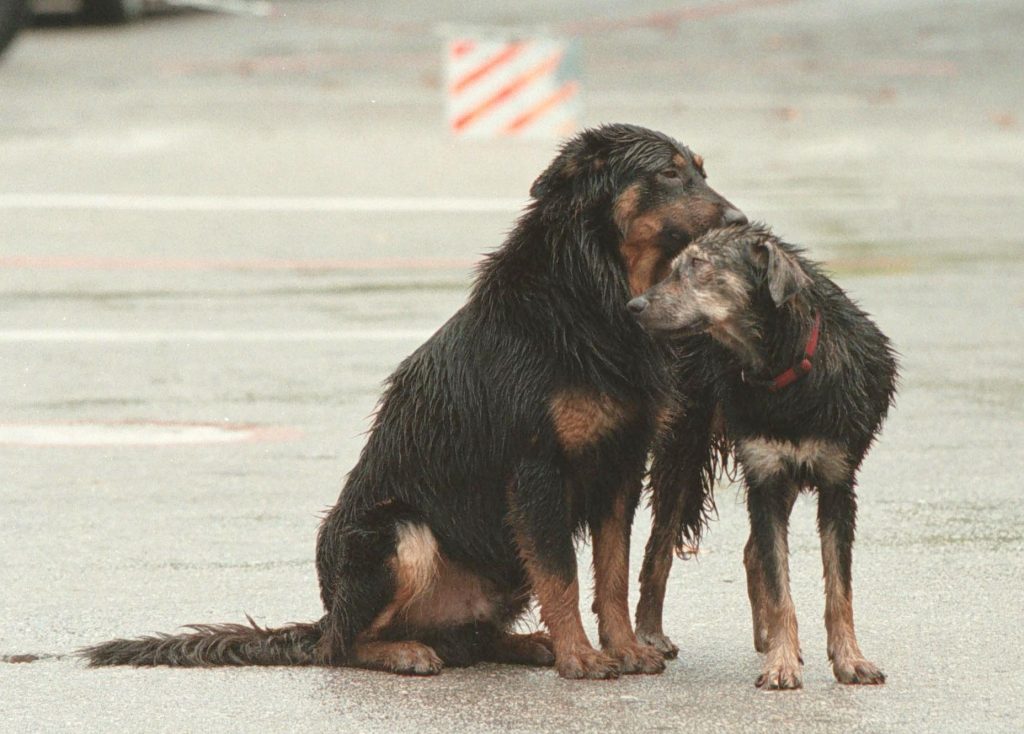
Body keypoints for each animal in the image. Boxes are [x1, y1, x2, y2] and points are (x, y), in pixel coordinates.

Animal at [81, 125, 745, 679]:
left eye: (701, 171)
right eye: (669, 173)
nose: (739, 218)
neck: (590, 294)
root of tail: (327, 613)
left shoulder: (620, 469)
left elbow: (611, 575)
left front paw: (623, 649)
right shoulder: (536, 470)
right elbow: (562, 576)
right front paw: (581, 659)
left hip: (500, 564)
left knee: (470, 637)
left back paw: (522, 643)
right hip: (398, 533)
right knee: (342, 646)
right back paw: (406, 652)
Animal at [626, 223, 901, 687]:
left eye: (698, 265)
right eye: (675, 266)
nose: (635, 306)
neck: (786, 365)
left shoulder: (836, 482)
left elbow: (839, 588)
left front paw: (849, 660)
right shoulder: (765, 475)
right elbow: (779, 587)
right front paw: (782, 664)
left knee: (751, 553)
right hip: (685, 449)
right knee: (658, 548)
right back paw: (649, 633)